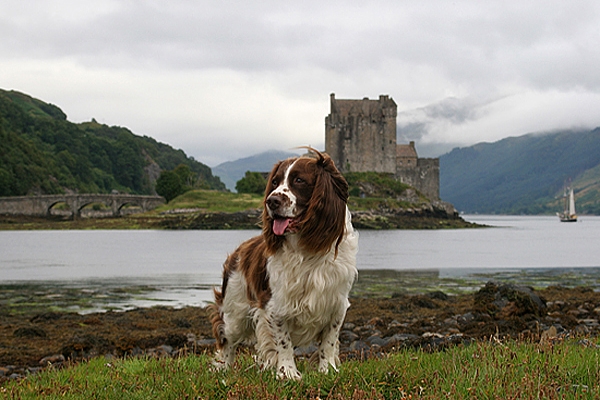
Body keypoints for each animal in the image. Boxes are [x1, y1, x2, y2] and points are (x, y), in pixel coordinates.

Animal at [210, 147, 356, 378]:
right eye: (275, 182)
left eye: (299, 180)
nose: (271, 201)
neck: (307, 249)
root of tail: (239, 250)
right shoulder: (275, 305)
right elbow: (283, 341)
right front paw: (287, 372)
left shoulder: (337, 303)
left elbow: (329, 342)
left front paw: (327, 370)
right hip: (235, 311)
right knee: (226, 339)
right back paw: (224, 368)